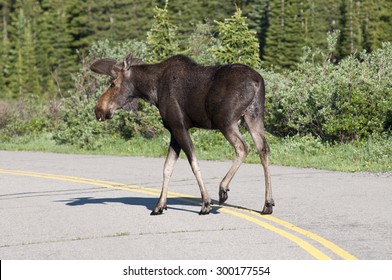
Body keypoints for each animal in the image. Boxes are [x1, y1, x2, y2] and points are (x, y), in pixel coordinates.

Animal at [90, 55, 274, 217]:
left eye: (113, 83)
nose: (98, 109)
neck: (152, 90)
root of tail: (257, 82)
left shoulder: (179, 126)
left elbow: (193, 163)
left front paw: (206, 203)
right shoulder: (173, 131)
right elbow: (167, 168)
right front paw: (159, 205)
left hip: (225, 120)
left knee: (243, 147)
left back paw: (223, 188)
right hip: (254, 116)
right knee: (263, 148)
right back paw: (267, 204)